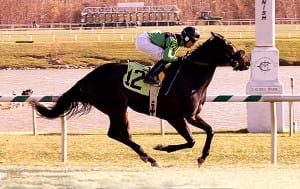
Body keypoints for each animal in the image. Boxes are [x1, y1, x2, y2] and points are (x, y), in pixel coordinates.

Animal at [31, 32, 250, 167]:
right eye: (230, 46)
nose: (246, 62)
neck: (190, 77)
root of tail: (87, 78)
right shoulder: (176, 117)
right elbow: (190, 141)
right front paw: (162, 147)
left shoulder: (192, 116)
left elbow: (210, 131)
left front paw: (202, 158)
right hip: (116, 107)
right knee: (117, 134)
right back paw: (150, 157)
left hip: (119, 108)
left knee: (121, 134)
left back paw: (147, 157)